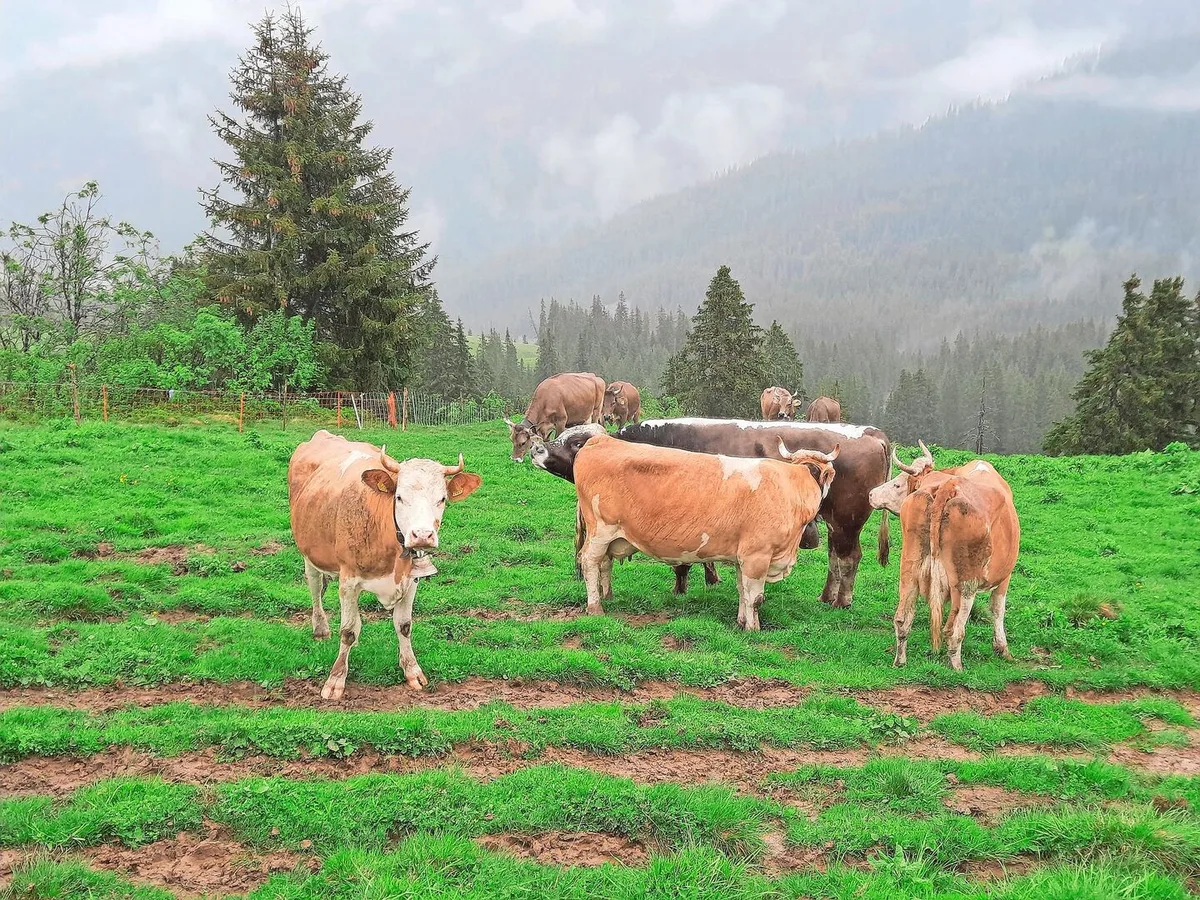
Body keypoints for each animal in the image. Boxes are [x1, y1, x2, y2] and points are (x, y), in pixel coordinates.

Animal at [288, 430, 482, 699]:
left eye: (442, 499)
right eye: (399, 497)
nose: (422, 535)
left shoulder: (411, 580)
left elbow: (404, 626)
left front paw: (412, 671)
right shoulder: (348, 581)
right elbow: (347, 631)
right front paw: (336, 679)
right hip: (309, 554)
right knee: (315, 588)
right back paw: (320, 628)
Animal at [533, 419, 888, 606]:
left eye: (578, 443)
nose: (538, 449)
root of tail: (873, 433)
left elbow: (682, 563)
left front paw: (681, 590)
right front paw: (710, 579)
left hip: (847, 521)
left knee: (848, 558)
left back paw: (841, 602)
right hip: (836, 525)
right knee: (836, 558)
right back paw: (827, 596)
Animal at [575, 434, 838, 629]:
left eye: (821, 474)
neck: (790, 486)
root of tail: (600, 440)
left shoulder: (742, 557)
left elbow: (742, 590)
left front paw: (741, 621)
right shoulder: (757, 556)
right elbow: (755, 598)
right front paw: (753, 628)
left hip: (611, 537)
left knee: (604, 563)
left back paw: (607, 595)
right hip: (601, 530)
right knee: (589, 561)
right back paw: (595, 607)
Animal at [869, 442, 1019, 670]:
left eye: (897, 484)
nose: (870, 494)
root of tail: (948, 486)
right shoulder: (1004, 576)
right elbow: (997, 609)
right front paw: (1002, 649)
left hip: (909, 570)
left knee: (902, 619)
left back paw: (900, 661)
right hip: (966, 584)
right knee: (954, 630)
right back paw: (957, 669)